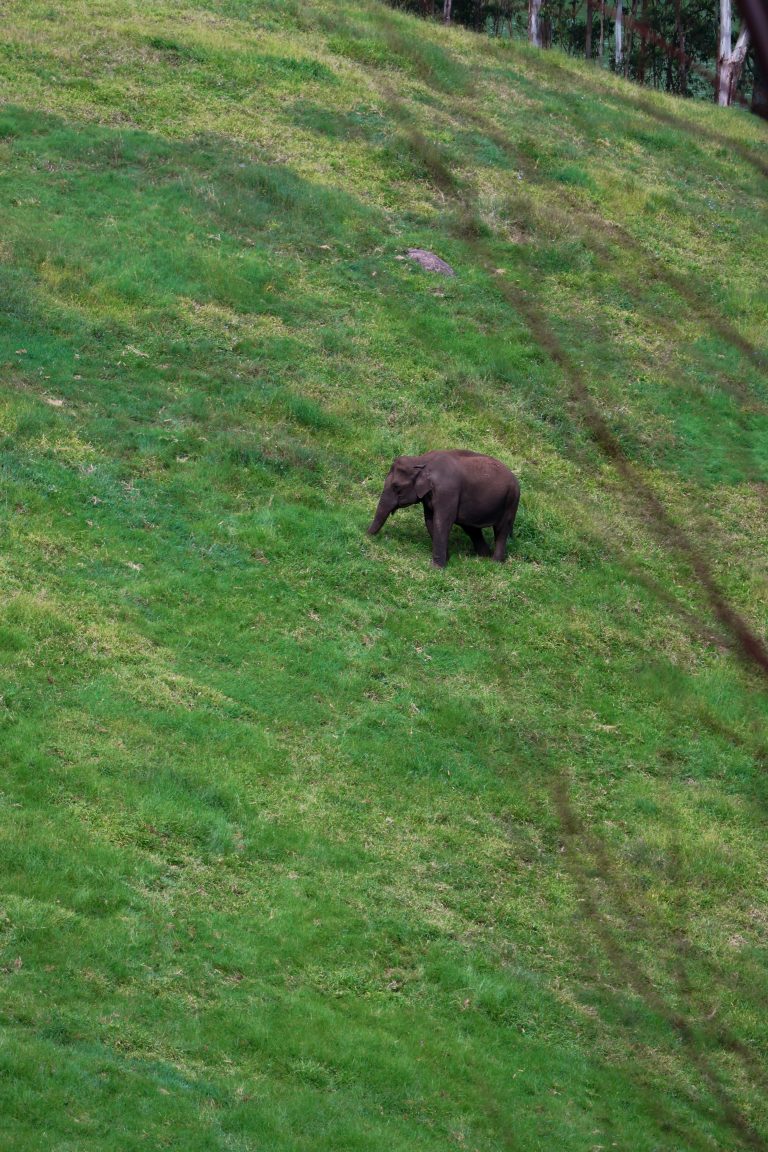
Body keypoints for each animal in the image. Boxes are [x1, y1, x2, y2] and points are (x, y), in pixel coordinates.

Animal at [368, 449, 522, 566]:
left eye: (396, 487)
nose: (367, 537)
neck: (422, 460)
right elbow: (430, 521)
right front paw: (446, 559)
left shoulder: (447, 491)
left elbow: (441, 521)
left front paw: (436, 568)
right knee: (472, 529)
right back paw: (484, 556)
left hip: (511, 501)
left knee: (501, 530)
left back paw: (495, 563)